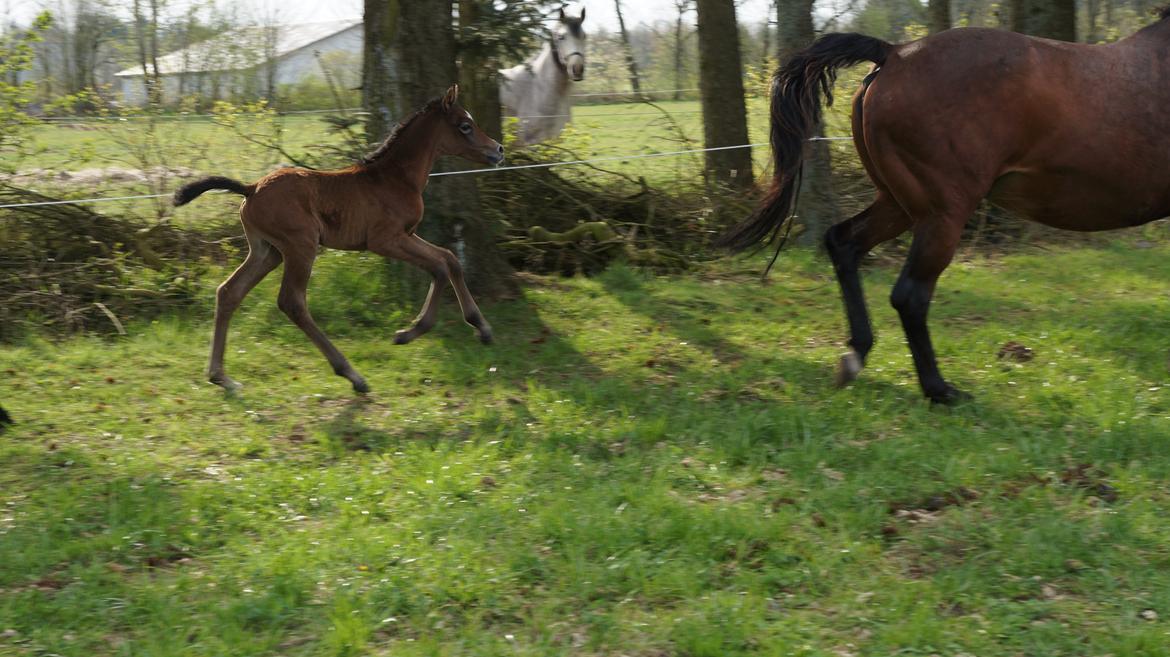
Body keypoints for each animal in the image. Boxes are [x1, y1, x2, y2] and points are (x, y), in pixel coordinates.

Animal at [173, 84, 503, 390]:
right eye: (465, 125)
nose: (498, 149)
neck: (395, 178)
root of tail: (251, 188)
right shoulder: (385, 241)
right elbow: (439, 267)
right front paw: (409, 332)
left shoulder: (408, 234)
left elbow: (450, 259)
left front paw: (483, 328)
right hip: (300, 245)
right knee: (292, 302)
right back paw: (351, 374)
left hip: (267, 251)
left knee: (230, 291)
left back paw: (221, 377)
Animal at [716, 15, 1170, 402]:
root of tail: (895, 52)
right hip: (943, 213)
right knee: (910, 295)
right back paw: (939, 389)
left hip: (900, 204)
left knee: (843, 242)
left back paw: (857, 355)